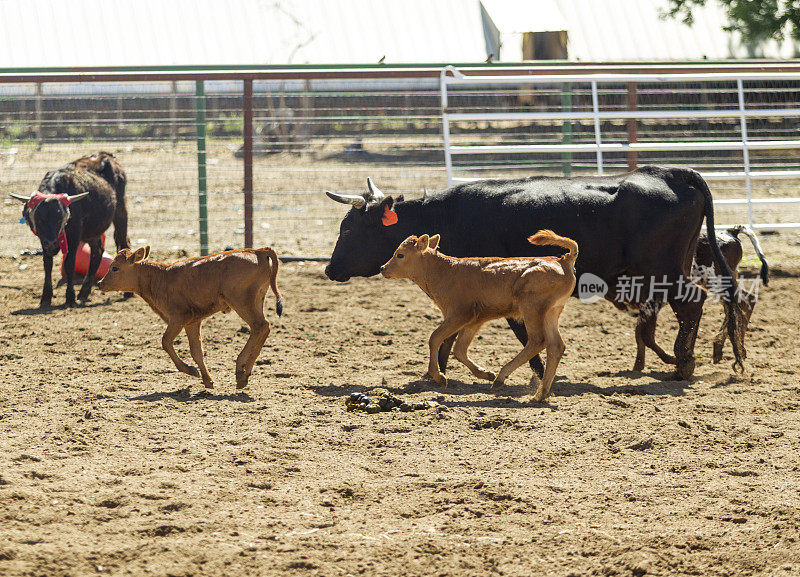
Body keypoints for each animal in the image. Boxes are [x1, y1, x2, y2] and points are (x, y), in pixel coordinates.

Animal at [11, 152, 131, 306]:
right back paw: (84, 292)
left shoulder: (74, 237)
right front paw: (46, 297)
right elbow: (47, 265)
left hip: (121, 212)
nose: (52, 243)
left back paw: (127, 292)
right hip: (93, 231)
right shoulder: (43, 241)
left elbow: (69, 264)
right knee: (97, 251)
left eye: (59, 219)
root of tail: (106, 156)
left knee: (123, 242)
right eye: (39, 219)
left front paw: (70, 296)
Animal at [99, 245, 282, 390]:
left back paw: (241, 372)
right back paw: (243, 374)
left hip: (242, 302)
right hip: (256, 301)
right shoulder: (192, 322)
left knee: (260, 326)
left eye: (114, 267)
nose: (100, 283)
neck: (160, 278)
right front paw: (207, 380)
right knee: (263, 328)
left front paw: (191, 370)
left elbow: (166, 342)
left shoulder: (178, 318)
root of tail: (258, 251)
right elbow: (197, 351)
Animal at [324, 165, 744, 382]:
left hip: (666, 270)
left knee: (691, 305)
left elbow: (515, 331)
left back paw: (683, 364)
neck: (451, 215)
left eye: (349, 230)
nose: (329, 269)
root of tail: (670, 173)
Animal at [380, 230, 576, 400]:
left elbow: (435, 338)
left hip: (531, 308)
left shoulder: (459, 314)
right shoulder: (474, 320)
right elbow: (459, 350)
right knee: (556, 346)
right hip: (551, 312)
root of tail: (563, 261)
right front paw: (485, 374)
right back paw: (538, 395)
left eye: (400, 254)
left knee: (537, 340)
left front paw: (439, 376)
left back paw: (501, 378)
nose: (383, 268)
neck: (445, 271)